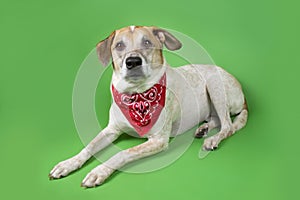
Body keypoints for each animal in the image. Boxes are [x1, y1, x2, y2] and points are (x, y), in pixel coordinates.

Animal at [49, 25, 248, 188]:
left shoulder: (158, 140)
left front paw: (99, 171)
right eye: (119, 45)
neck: (137, 95)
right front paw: (68, 163)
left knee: (228, 126)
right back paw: (203, 129)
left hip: (215, 86)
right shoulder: (111, 129)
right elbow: (89, 146)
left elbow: (122, 153)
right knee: (217, 120)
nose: (133, 62)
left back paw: (212, 139)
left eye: (147, 42)